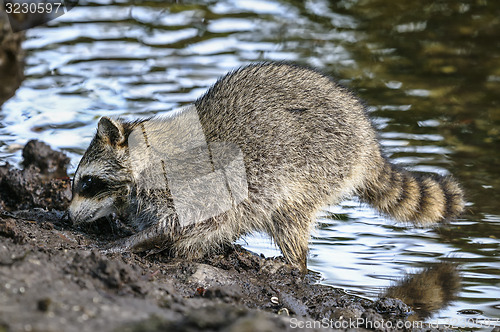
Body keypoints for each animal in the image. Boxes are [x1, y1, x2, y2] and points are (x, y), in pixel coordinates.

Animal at [67, 61, 464, 270]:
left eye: (87, 183)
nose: (66, 217)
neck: (145, 162)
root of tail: (368, 142)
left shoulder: (187, 187)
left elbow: (179, 224)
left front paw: (132, 242)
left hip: (318, 164)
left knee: (288, 214)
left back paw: (295, 263)